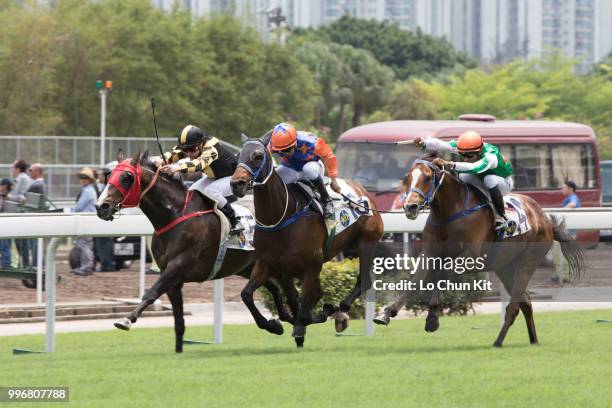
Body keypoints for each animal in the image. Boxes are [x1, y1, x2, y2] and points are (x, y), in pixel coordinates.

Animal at [94, 151, 298, 352]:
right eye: (109, 176)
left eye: (126, 177)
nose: (101, 206)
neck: (175, 215)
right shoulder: (173, 279)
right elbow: (178, 321)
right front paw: (178, 350)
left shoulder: (177, 266)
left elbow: (151, 293)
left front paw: (126, 319)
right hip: (246, 267)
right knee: (272, 286)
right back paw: (280, 321)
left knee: (285, 290)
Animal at [230, 134, 382, 348]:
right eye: (237, 157)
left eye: (258, 156)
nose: (237, 184)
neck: (282, 216)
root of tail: (363, 192)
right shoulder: (269, 265)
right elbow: (248, 295)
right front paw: (273, 325)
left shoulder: (311, 267)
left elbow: (303, 314)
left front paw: (316, 318)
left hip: (366, 244)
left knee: (363, 281)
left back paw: (340, 312)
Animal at [372, 155, 584, 348]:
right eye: (407, 177)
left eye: (426, 177)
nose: (410, 206)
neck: (450, 213)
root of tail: (544, 217)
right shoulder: (430, 254)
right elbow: (415, 281)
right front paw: (386, 313)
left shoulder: (470, 258)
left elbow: (440, 276)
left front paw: (432, 318)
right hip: (506, 268)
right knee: (525, 302)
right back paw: (532, 341)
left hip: (527, 263)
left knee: (515, 304)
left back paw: (498, 341)